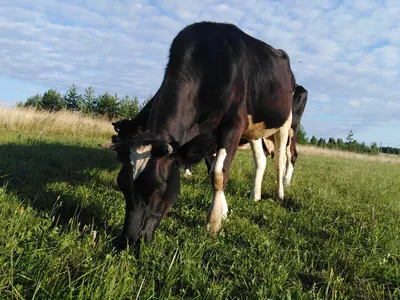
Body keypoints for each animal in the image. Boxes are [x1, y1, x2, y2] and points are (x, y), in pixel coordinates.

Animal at [100, 21, 294, 246]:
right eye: (122, 184)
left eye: (159, 187)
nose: (129, 241)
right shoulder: (207, 136)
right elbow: (213, 168)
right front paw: (223, 211)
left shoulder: (234, 124)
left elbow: (218, 173)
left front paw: (213, 224)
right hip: (254, 130)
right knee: (260, 160)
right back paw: (255, 194)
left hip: (284, 122)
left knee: (279, 160)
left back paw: (280, 194)